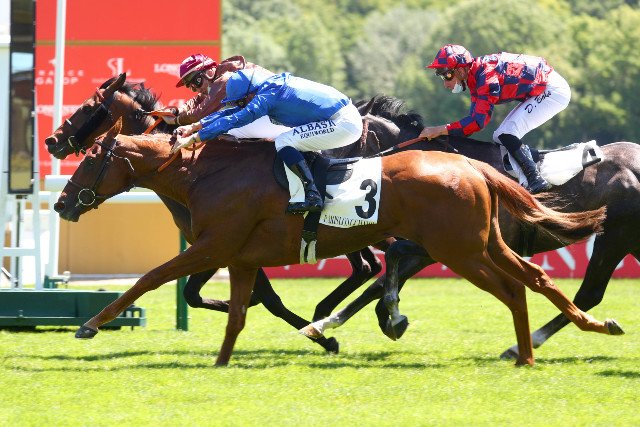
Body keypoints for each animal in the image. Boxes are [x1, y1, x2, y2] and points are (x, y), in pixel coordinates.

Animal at [54, 118, 623, 366]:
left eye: (90, 159)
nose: (61, 203)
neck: (206, 173)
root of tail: (473, 167)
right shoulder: (239, 258)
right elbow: (238, 314)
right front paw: (221, 362)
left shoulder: (212, 248)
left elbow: (149, 278)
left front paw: (89, 325)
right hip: (482, 243)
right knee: (537, 279)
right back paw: (577, 332)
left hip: (457, 250)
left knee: (512, 290)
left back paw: (526, 351)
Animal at [304, 96, 640, 358]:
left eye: (339, 140)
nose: (321, 175)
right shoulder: (431, 246)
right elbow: (385, 279)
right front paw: (379, 319)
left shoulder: (439, 246)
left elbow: (378, 283)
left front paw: (327, 324)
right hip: (629, 241)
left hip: (615, 237)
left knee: (589, 293)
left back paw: (521, 346)